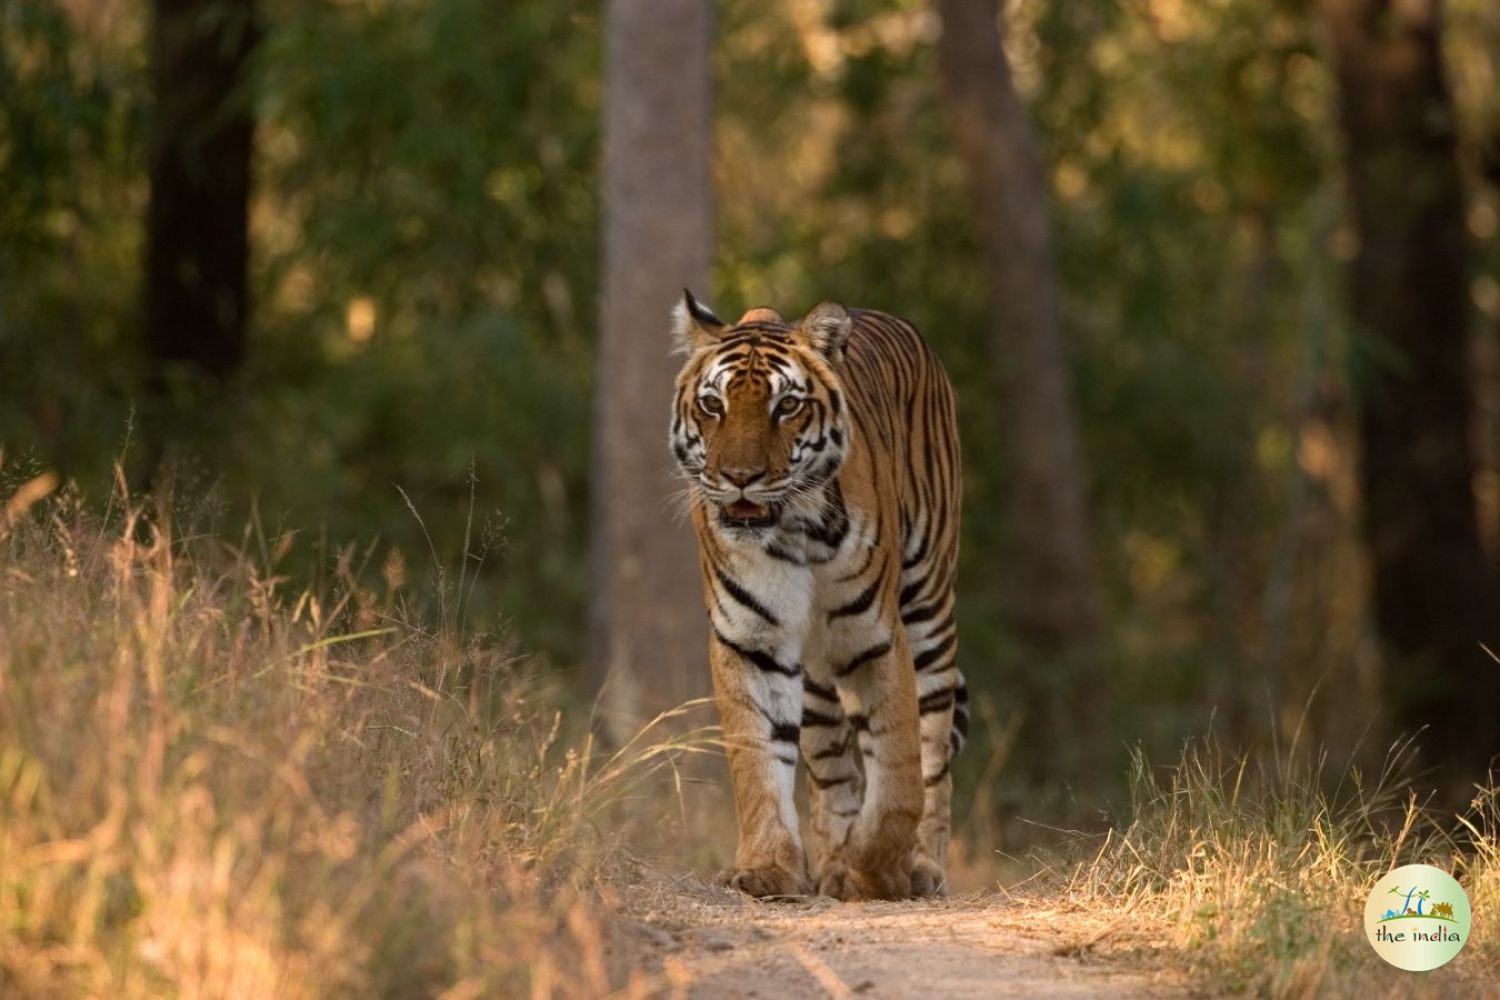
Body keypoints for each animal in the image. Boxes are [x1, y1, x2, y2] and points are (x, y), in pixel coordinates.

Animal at [666, 289, 966, 899]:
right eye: (713, 405)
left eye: (786, 406)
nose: (740, 477)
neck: (792, 531)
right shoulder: (752, 639)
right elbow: (758, 758)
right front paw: (769, 868)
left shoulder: (875, 635)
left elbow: (898, 767)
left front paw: (879, 869)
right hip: (819, 674)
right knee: (831, 766)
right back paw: (830, 865)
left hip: (929, 606)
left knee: (931, 746)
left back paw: (921, 866)